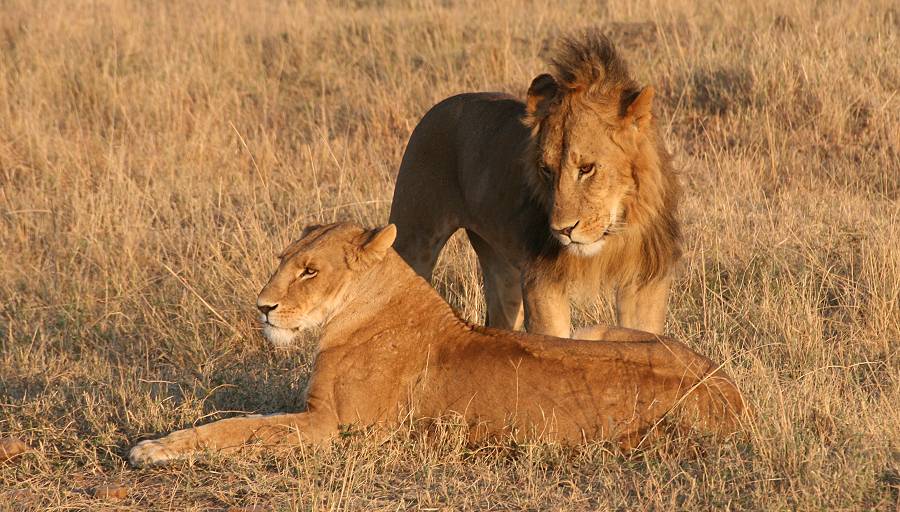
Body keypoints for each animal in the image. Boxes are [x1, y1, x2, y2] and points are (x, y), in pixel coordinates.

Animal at [128, 222, 744, 466]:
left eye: (309, 271)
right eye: (283, 261)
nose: (263, 307)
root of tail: (731, 394)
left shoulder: (335, 430)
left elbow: (240, 429)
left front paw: (152, 449)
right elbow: (241, 418)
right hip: (595, 331)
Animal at [390, 31, 680, 336]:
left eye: (586, 168)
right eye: (546, 170)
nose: (563, 230)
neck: (614, 235)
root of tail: (437, 107)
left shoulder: (644, 281)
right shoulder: (543, 282)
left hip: (503, 270)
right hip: (414, 239)